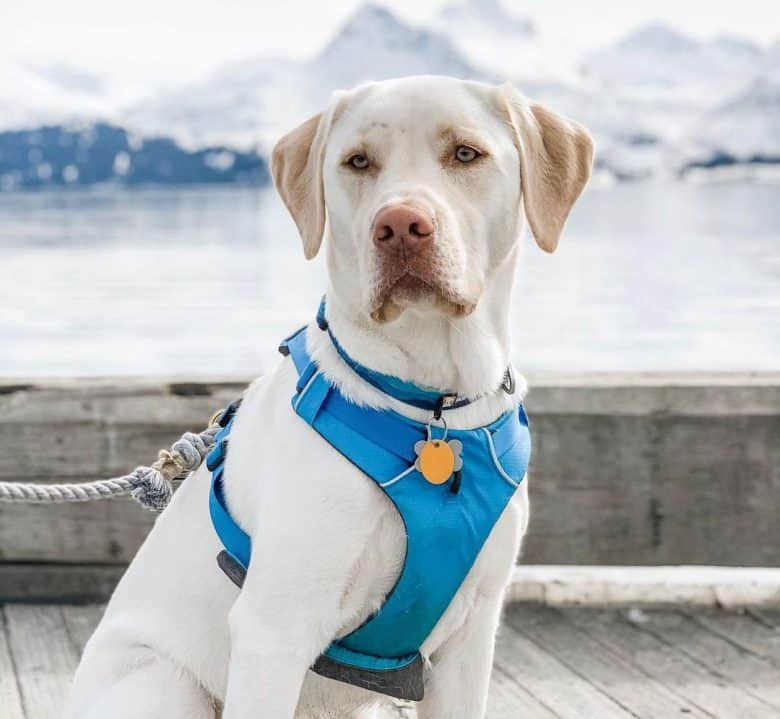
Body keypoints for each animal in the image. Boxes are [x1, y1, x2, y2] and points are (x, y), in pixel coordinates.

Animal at [67, 74, 592, 719]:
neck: (432, 406)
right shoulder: (274, 630)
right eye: (357, 161)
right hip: (163, 684)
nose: (400, 225)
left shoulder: (472, 640)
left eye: (466, 153)